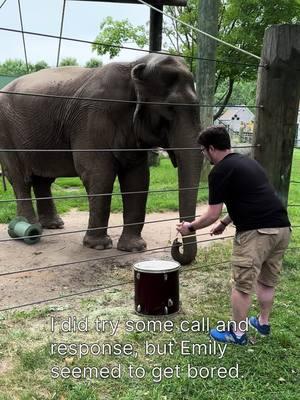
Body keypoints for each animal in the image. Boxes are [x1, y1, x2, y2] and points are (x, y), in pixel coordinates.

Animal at [0, 54, 204, 266]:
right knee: (20, 178)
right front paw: (98, 246)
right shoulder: (92, 117)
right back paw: (30, 228)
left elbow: (137, 179)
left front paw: (134, 248)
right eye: (170, 109)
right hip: (6, 133)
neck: (134, 66)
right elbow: (99, 174)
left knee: (43, 180)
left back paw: (53, 226)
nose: (176, 243)